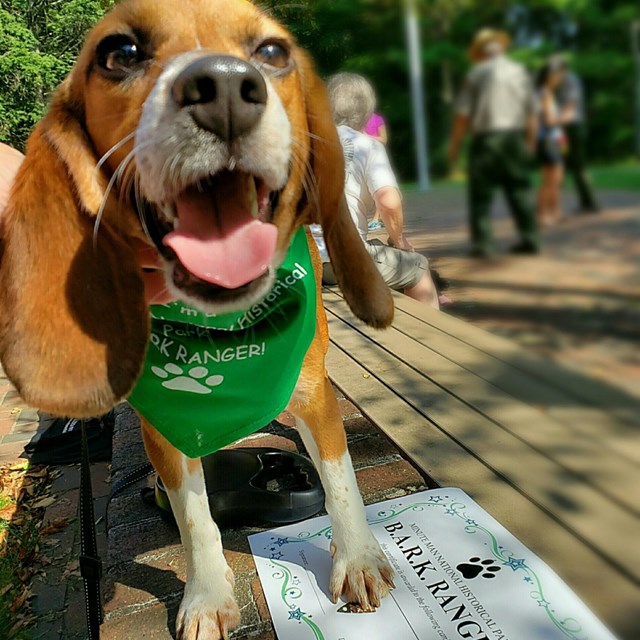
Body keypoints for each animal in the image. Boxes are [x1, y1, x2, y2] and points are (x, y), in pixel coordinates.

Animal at [1, 2, 396, 636]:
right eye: (120, 53)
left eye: (273, 52)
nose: (226, 89)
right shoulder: (162, 431)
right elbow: (194, 518)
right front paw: (207, 596)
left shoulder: (314, 392)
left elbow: (341, 483)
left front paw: (358, 558)